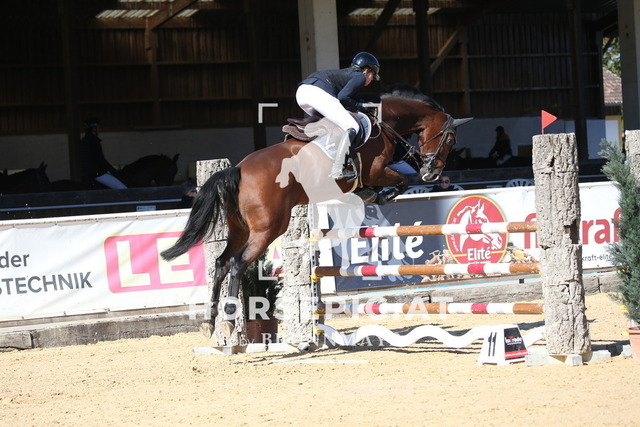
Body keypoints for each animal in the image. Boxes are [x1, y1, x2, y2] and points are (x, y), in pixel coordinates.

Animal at [161, 87, 470, 338]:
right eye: (451, 139)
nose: (432, 172)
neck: (383, 123)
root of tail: (238, 168)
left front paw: (370, 195)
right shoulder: (377, 171)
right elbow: (402, 180)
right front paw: (378, 195)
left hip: (240, 229)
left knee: (221, 263)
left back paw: (210, 322)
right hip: (267, 229)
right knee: (237, 264)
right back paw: (227, 320)